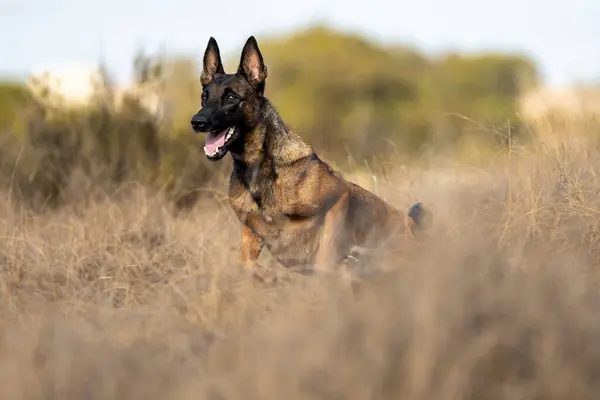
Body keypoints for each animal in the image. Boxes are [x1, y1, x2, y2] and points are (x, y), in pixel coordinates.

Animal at [190, 36, 428, 282]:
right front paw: (269, 278)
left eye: (230, 97)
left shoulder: (339, 196)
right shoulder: (252, 227)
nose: (197, 122)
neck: (257, 167)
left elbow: (326, 254)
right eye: (204, 97)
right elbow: (245, 263)